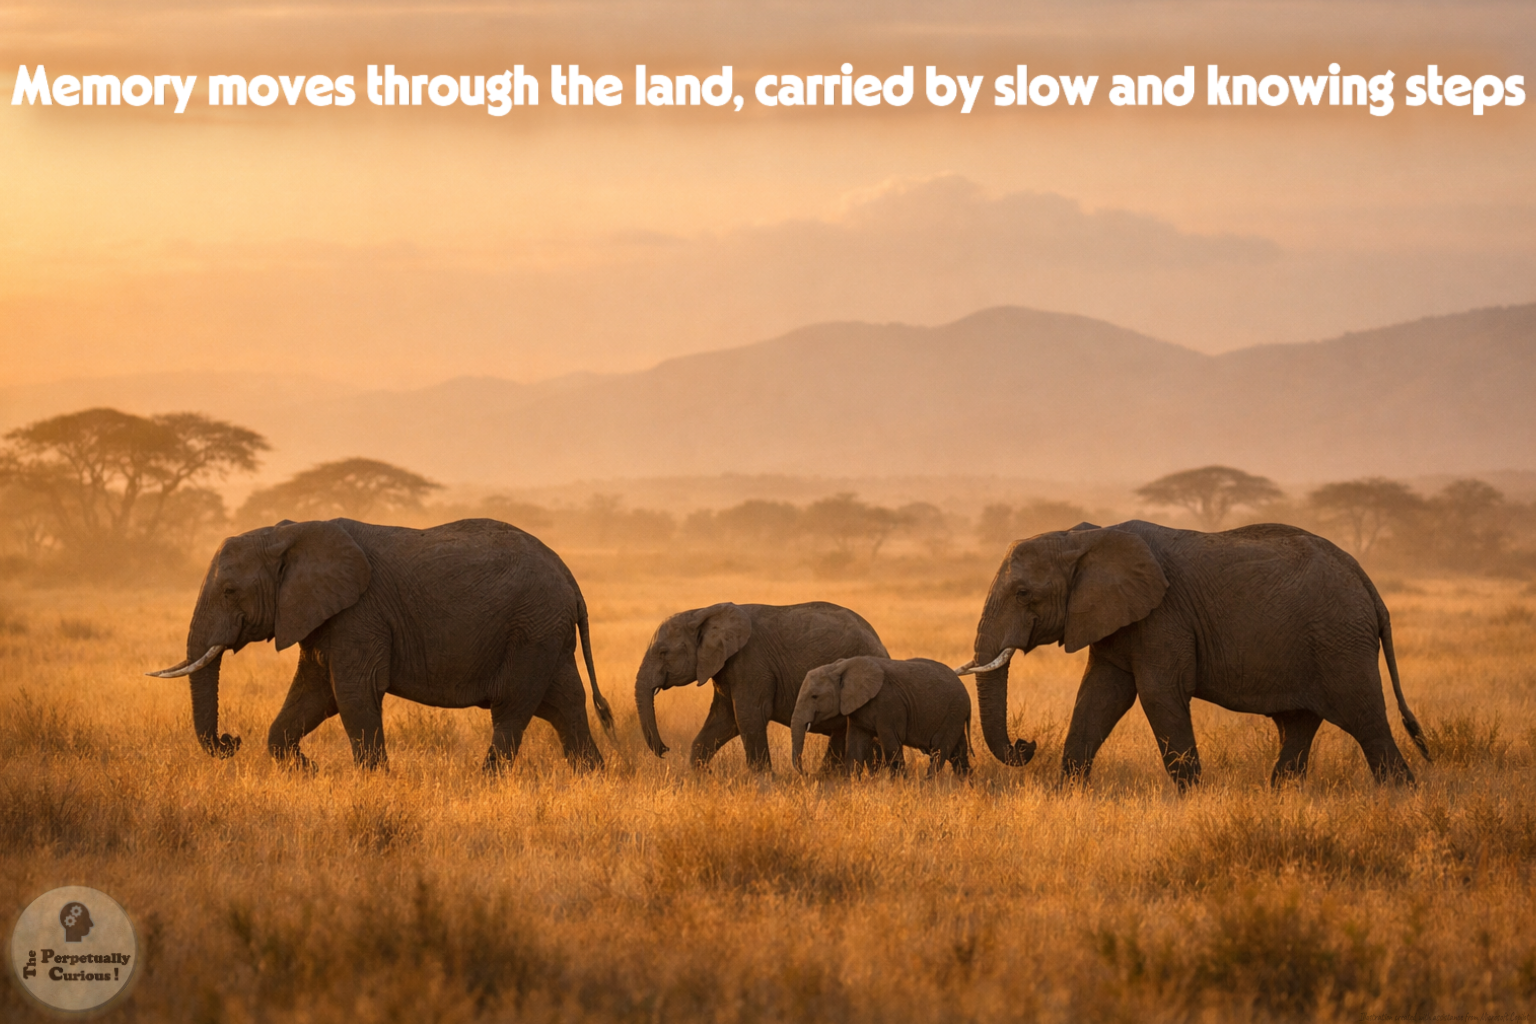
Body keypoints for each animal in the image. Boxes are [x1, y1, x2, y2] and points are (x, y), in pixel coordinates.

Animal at [146, 518, 615, 772]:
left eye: (229, 592)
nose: (230, 740)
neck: (290, 533)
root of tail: (570, 578)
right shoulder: (327, 617)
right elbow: (314, 695)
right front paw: (310, 773)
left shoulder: (360, 614)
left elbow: (353, 693)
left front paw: (374, 782)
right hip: (546, 633)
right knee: (565, 707)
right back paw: (592, 779)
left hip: (532, 629)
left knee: (513, 711)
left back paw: (486, 783)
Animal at [635, 602, 888, 772]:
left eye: (663, 652)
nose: (665, 750)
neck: (703, 611)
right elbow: (724, 720)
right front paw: (700, 779)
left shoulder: (751, 663)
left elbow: (748, 717)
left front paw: (764, 784)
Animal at [791, 656, 972, 778]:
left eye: (814, 696)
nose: (807, 774)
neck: (842, 666)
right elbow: (855, 746)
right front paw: (851, 787)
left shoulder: (888, 705)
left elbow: (891, 746)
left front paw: (898, 786)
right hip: (955, 716)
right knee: (958, 754)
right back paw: (965, 786)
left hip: (954, 712)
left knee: (940, 751)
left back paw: (928, 786)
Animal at [958, 520, 1431, 790]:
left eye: (1023, 594)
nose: (1027, 744)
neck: (1083, 537)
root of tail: (1368, 585)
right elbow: (1099, 696)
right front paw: (1067, 795)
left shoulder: (1164, 615)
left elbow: (1158, 695)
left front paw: (1192, 801)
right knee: (1299, 725)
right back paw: (1281, 797)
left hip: (1340, 642)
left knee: (1367, 723)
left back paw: (1401, 797)